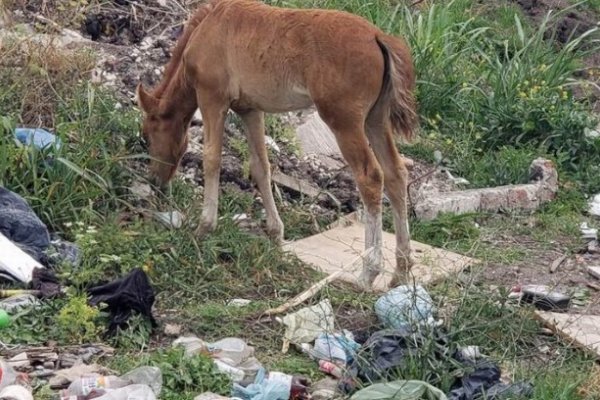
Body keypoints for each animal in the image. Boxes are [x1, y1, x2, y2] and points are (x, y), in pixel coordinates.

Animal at [136, 0, 418, 290]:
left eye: (147, 134)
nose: (155, 181)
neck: (207, 27)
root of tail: (378, 37)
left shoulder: (212, 97)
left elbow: (211, 158)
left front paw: (204, 227)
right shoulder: (250, 109)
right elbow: (261, 166)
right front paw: (275, 235)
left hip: (344, 121)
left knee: (370, 177)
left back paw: (367, 274)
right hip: (376, 118)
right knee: (395, 174)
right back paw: (400, 272)